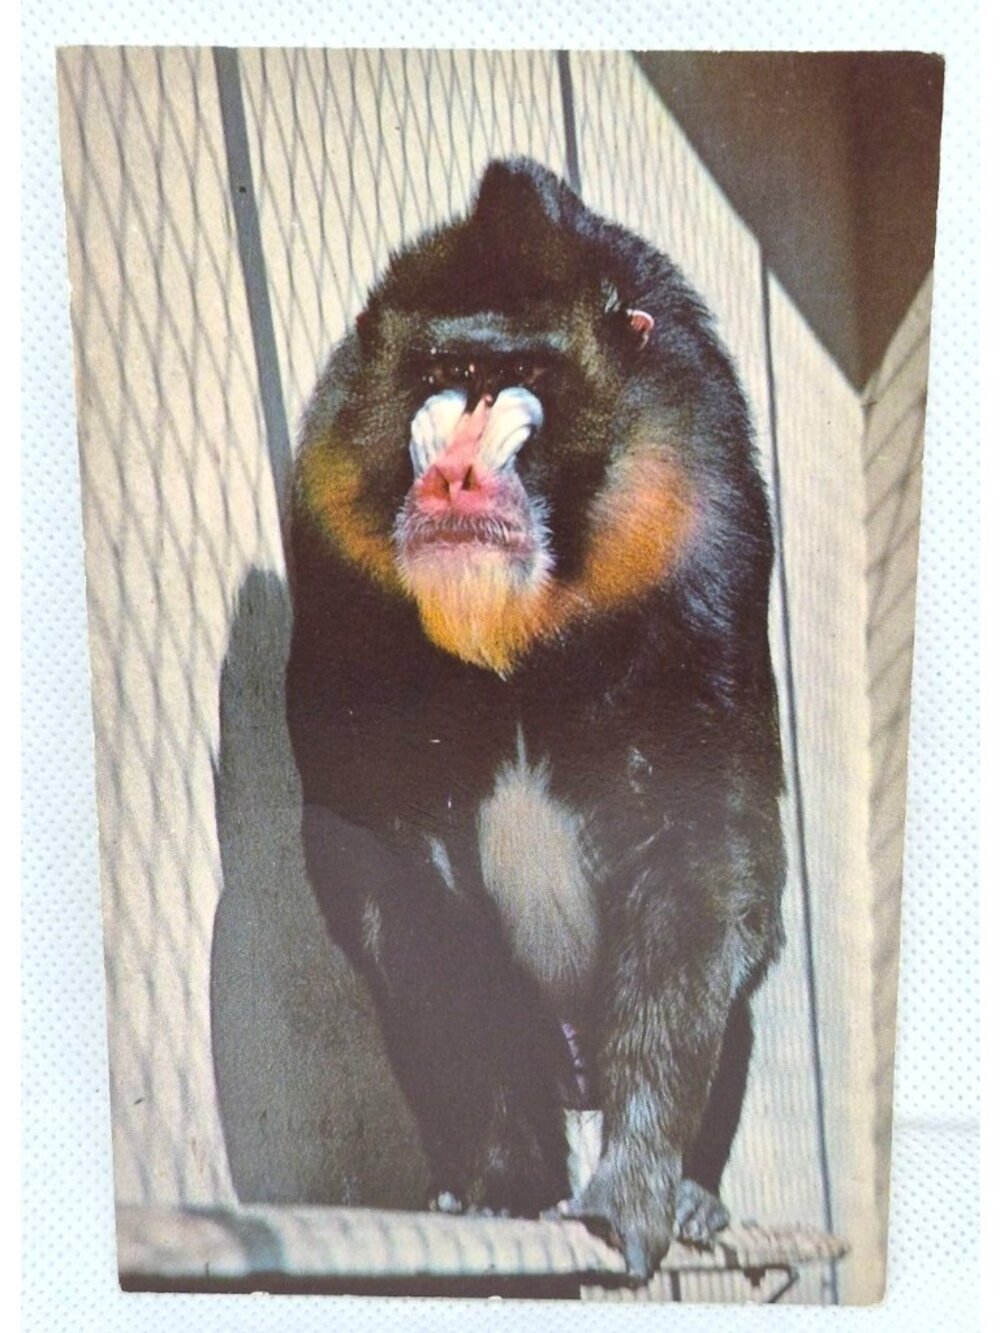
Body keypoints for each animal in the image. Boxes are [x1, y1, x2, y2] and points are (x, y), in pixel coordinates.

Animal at [285, 156, 786, 1282]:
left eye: (520, 379)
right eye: (448, 370)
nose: (456, 475)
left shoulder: (704, 533)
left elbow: (705, 845)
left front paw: (636, 1189)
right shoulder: (334, 542)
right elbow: (391, 865)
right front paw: (505, 1186)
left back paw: (694, 1195)